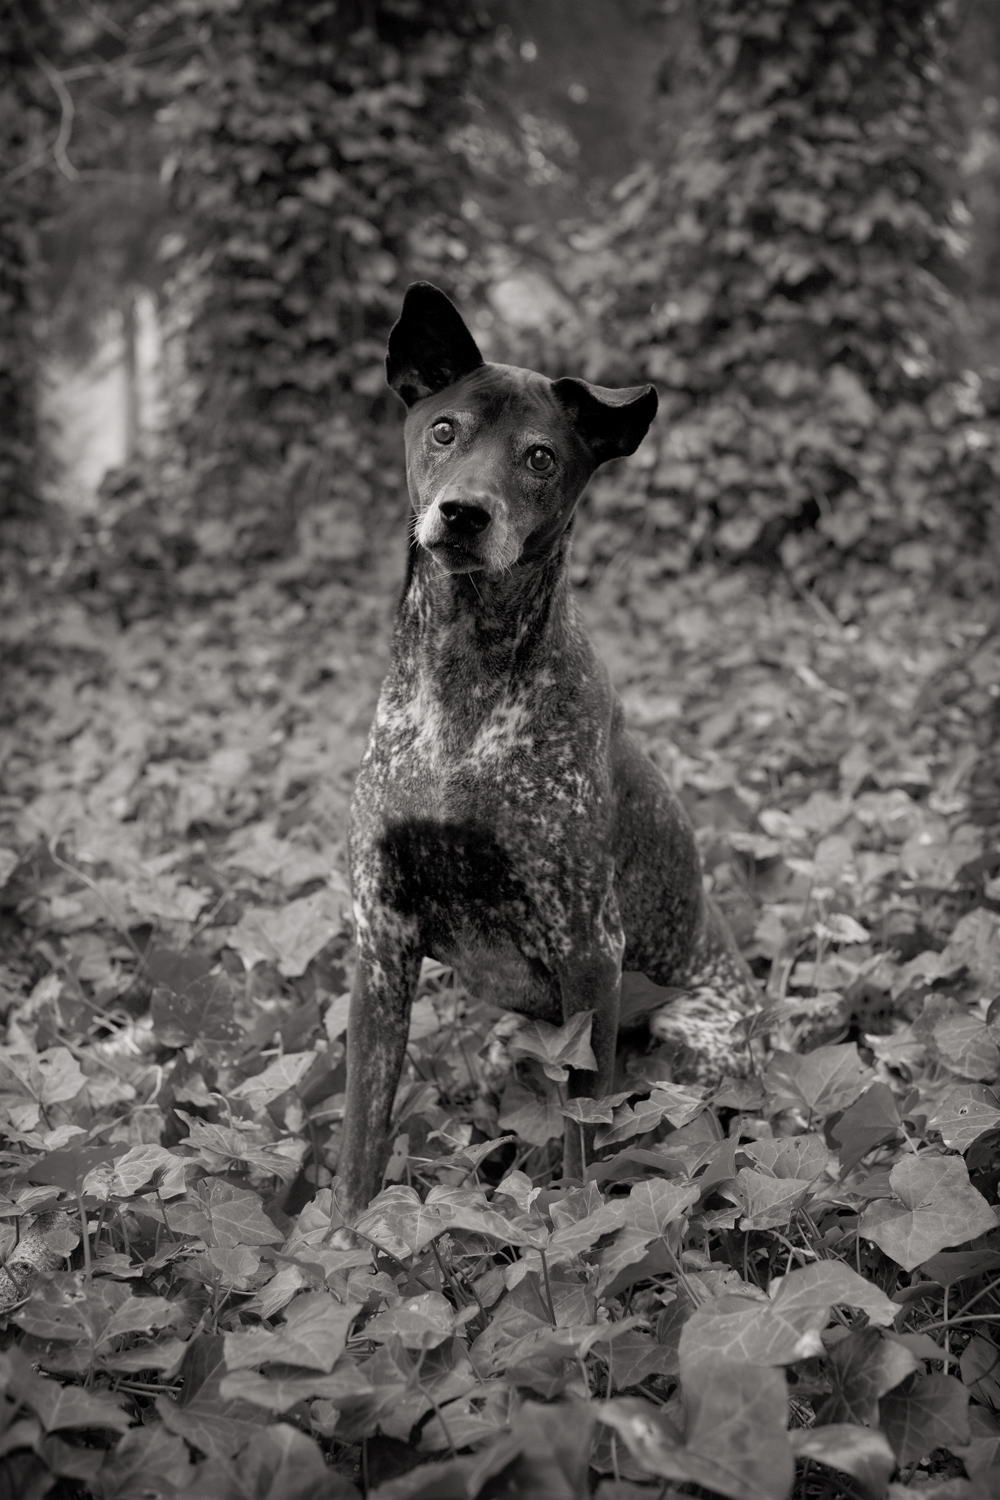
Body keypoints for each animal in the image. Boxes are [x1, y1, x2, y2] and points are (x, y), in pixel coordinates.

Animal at [338, 286, 758, 1224]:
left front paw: (573, 1230)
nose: (464, 513)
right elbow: (361, 1137)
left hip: (687, 1044)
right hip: (508, 1045)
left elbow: (581, 1140)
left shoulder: (587, 950)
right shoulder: (381, 942)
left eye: (538, 457)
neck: (463, 680)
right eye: (445, 430)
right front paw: (336, 1242)